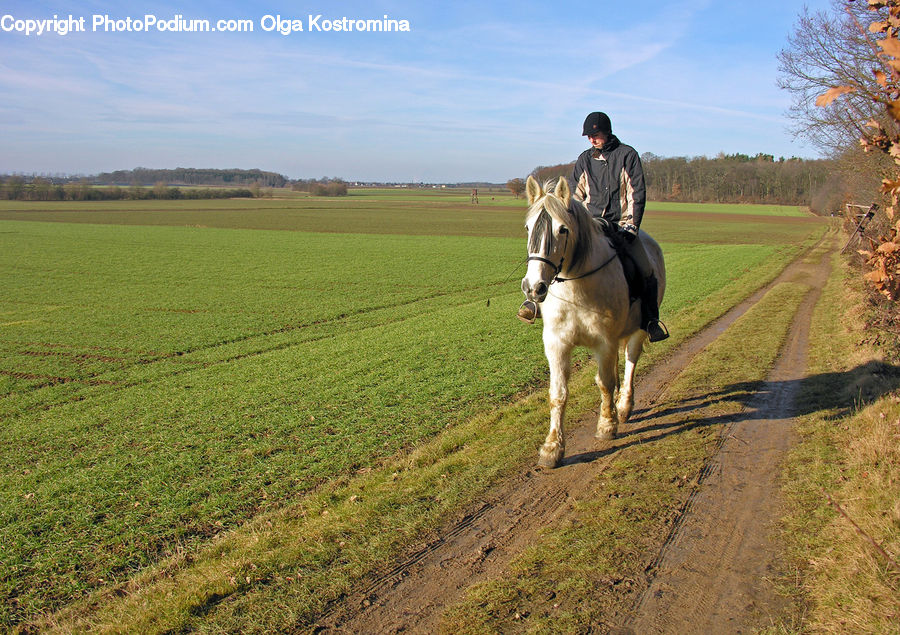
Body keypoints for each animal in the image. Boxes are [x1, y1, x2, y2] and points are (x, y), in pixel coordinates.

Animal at [521, 175, 666, 468]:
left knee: (630, 363)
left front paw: (607, 425)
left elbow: (605, 382)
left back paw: (623, 407)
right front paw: (552, 448)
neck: (576, 289)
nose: (533, 288)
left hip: (637, 332)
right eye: (528, 228)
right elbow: (558, 394)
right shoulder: (556, 344)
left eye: (563, 230)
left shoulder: (604, 343)